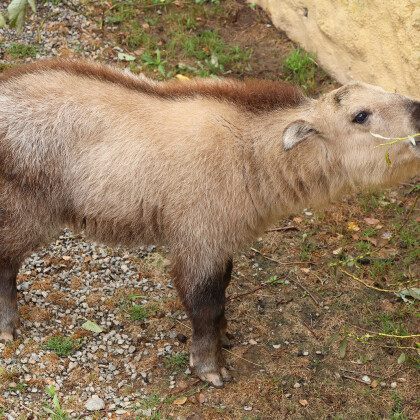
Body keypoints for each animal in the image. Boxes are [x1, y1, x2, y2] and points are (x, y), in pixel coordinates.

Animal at [0, 60, 418, 388]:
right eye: (360, 115)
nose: (418, 111)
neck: (250, 155)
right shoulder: (199, 241)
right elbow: (205, 306)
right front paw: (208, 366)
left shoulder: (221, 243)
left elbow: (223, 293)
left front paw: (224, 336)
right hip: (26, 211)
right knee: (5, 261)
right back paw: (7, 324)